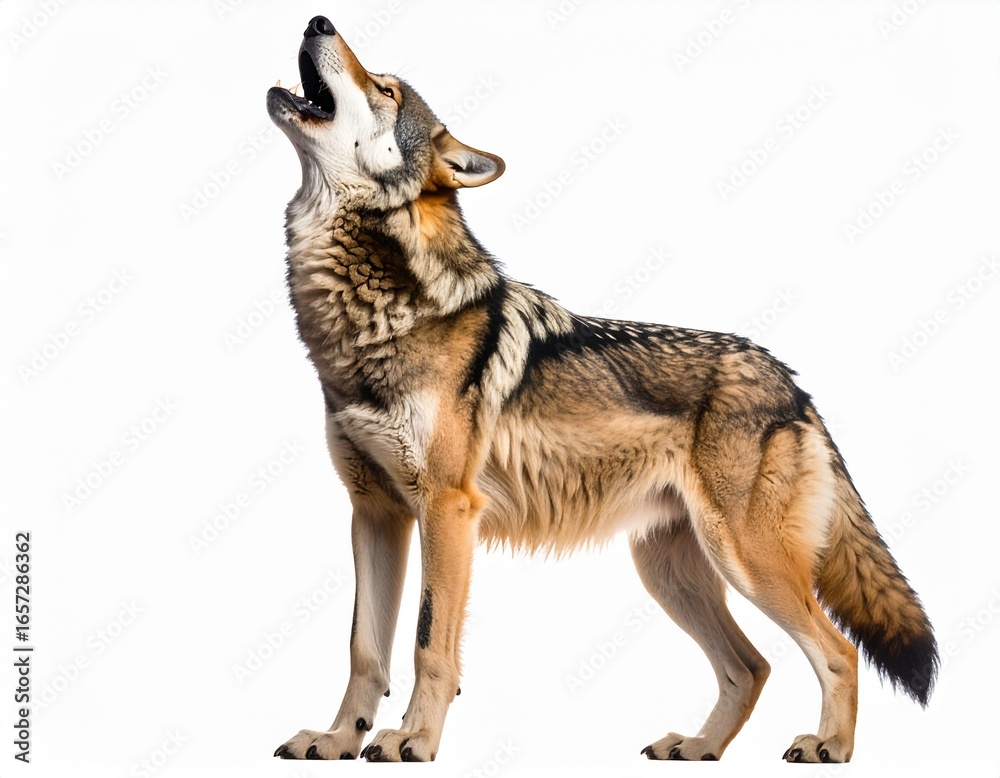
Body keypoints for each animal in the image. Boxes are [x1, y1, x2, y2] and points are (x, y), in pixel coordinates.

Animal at [266, 15, 937, 764]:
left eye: (383, 87)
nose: (318, 20)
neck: (368, 316)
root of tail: (791, 382)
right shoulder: (375, 512)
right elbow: (365, 649)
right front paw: (336, 738)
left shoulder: (447, 508)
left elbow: (427, 641)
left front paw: (413, 738)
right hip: (669, 570)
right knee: (752, 665)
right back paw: (698, 747)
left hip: (747, 562)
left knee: (838, 652)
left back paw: (829, 747)